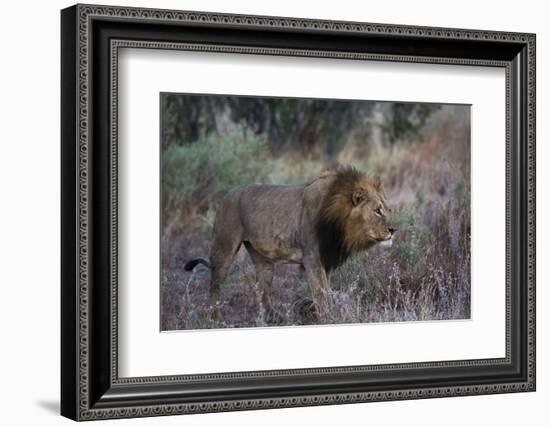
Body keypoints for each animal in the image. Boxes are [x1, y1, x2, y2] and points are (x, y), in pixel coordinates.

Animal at [185, 166, 396, 322]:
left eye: (388, 210)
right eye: (377, 211)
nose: (393, 229)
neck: (340, 224)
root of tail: (225, 196)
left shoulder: (326, 261)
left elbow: (326, 291)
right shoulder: (312, 259)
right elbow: (320, 293)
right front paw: (328, 318)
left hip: (263, 261)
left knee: (261, 290)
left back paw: (273, 318)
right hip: (224, 247)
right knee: (215, 285)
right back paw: (214, 319)